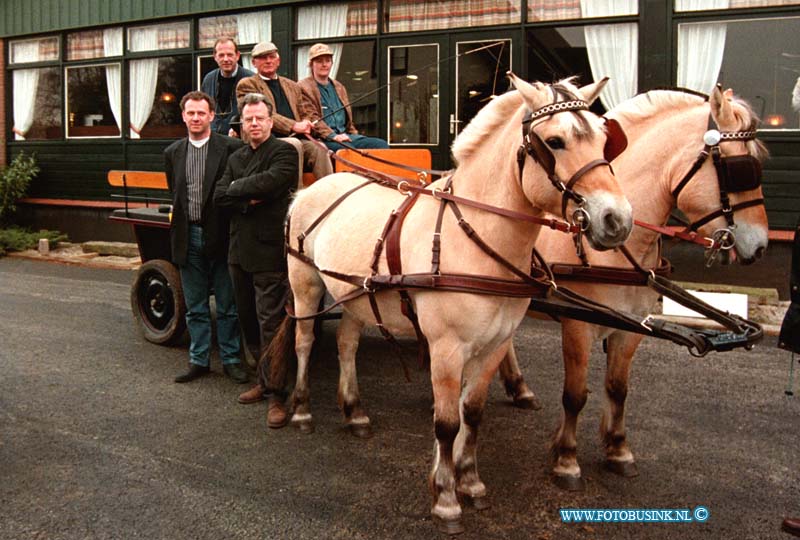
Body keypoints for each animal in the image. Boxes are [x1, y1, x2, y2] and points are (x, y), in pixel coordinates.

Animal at [268, 76, 632, 536]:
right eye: (555, 141)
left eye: (604, 140)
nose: (617, 220)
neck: (474, 237)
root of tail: (310, 188)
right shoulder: (446, 348)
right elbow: (446, 422)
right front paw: (444, 498)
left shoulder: (495, 345)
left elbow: (472, 413)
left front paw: (470, 481)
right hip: (305, 283)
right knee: (303, 341)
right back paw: (300, 409)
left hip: (356, 295)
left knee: (347, 344)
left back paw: (354, 412)